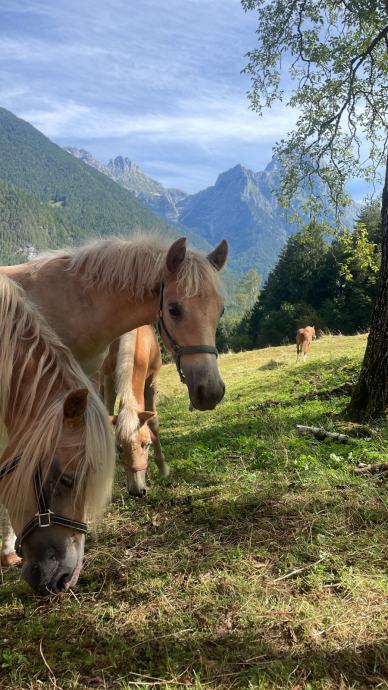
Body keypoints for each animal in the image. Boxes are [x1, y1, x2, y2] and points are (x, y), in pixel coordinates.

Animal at [100, 326, 168, 498]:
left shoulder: (152, 381)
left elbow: (153, 423)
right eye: (119, 448)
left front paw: (163, 468)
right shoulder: (108, 379)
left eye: (147, 445)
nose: (137, 491)